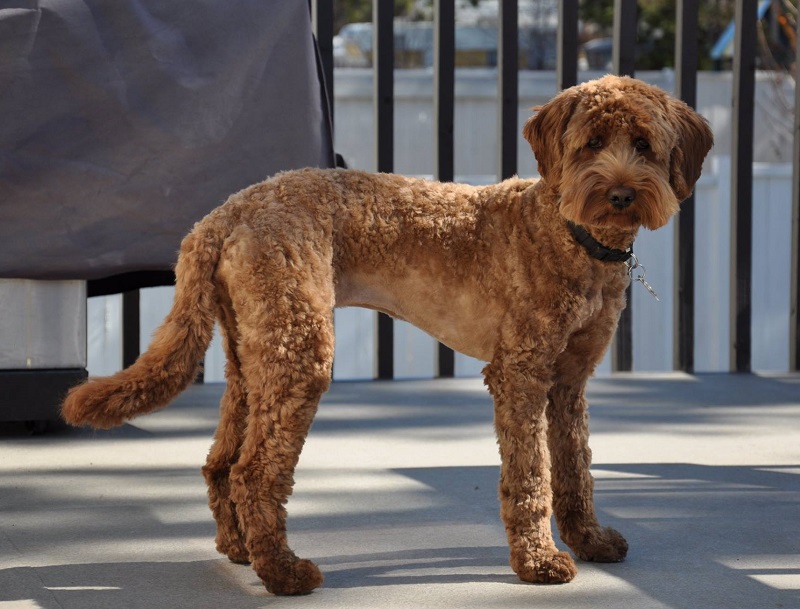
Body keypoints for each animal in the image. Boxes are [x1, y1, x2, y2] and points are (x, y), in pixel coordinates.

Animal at [62, 75, 712, 592]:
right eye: (592, 144)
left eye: (644, 145)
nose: (621, 194)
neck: (565, 232)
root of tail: (222, 216)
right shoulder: (521, 374)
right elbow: (532, 475)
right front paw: (539, 562)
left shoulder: (570, 381)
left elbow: (575, 468)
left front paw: (590, 540)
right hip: (300, 350)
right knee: (255, 472)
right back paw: (284, 572)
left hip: (253, 353)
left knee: (222, 462)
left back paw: (240, 549)